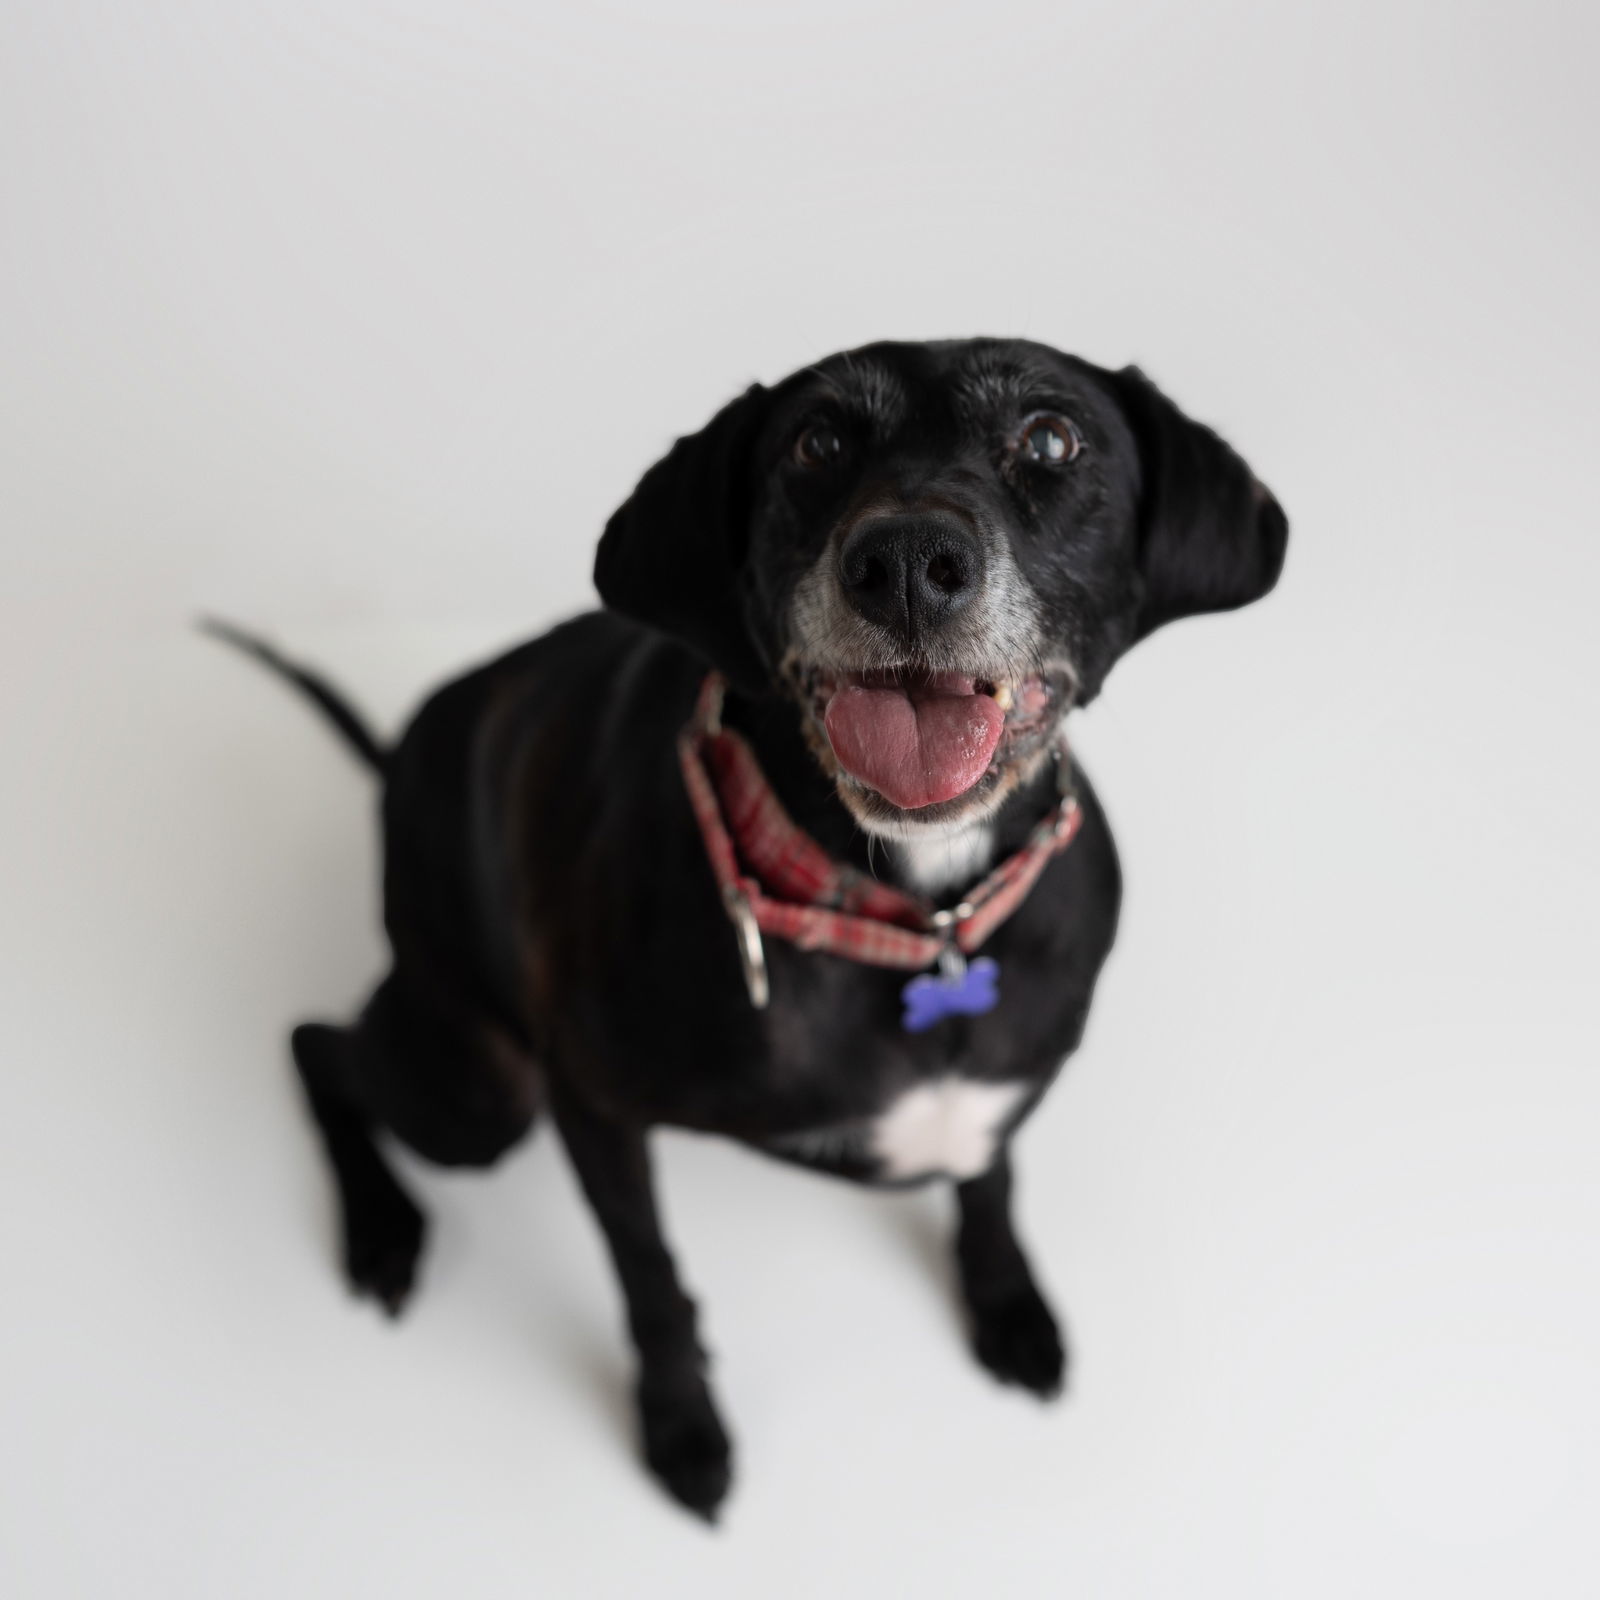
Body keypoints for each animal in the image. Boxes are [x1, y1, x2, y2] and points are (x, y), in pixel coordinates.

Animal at [216, 334, 1286, 1510]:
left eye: (1051, 439)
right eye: (815, 444)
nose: (904, 560)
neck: (918, 919)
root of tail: (396, 760)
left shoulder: (1000, 1086)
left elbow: (991, 1185)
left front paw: (1008, 1306)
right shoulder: (589, 1100)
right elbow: (650, 1276)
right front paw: (681, 1423)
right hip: (479, 1092)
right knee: (315, 1045)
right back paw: (381, 1231)